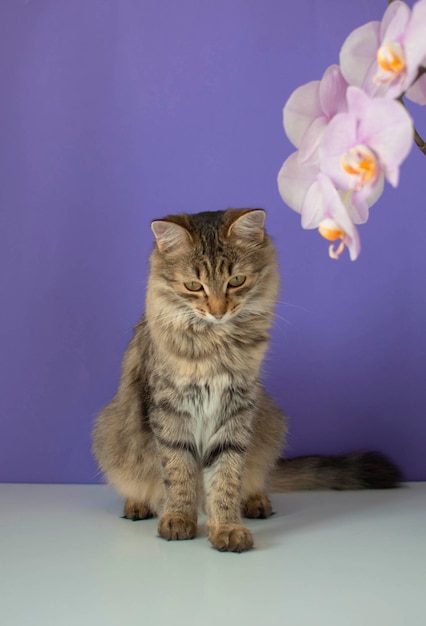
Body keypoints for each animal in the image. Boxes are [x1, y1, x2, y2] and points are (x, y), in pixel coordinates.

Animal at [91, 208, 402, 552]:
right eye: (193, 285)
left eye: (236, 281)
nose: (218, 311)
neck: (217, 344)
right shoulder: (170, 411)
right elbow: (179, 473)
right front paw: (178, 519)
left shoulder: (235, 411)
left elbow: (225, 479)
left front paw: (227, 527)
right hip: (110, 431)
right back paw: (139, 506)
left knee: (250, 479)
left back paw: (255, 502)